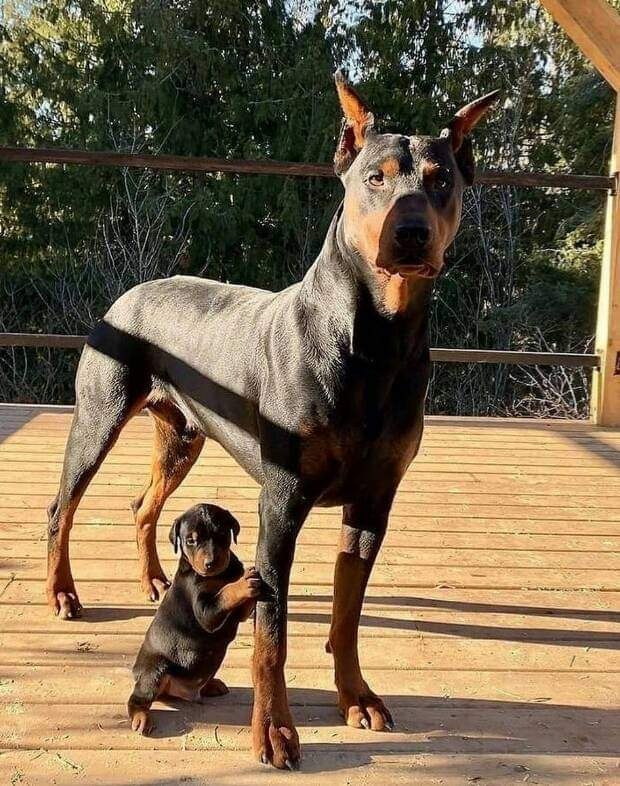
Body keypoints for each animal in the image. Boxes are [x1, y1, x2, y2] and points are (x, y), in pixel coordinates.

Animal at [128, 503, 261, 735]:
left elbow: (241, 604)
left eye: (221, 534)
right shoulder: (205, 610)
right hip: (154, 670)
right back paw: (140, 717)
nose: (210, 563)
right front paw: (242, 584)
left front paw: (250, 580)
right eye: (190, 540)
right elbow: (225, 593)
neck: (220, 575)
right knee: (138, 699)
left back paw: (211, 685)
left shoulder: (237, 613)